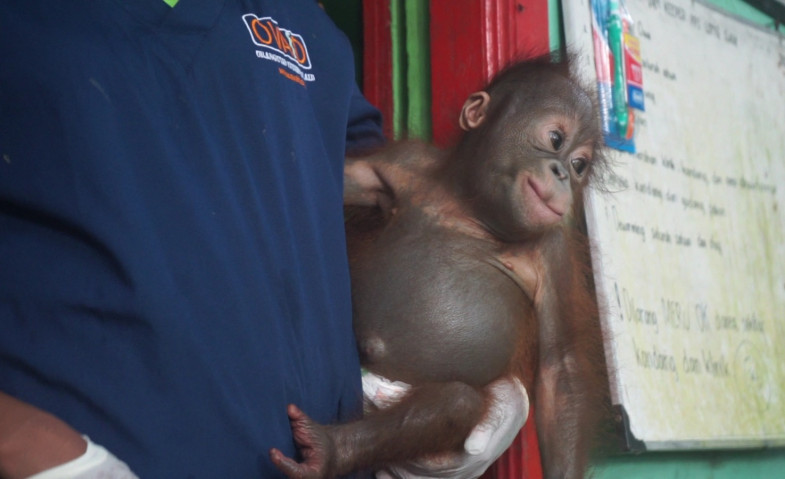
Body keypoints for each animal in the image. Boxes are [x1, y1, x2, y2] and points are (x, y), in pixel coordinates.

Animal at [269, 53, 610, 479]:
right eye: (555, 140)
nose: (563, 173)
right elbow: (353, 175)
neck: (470, 209)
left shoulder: (554, 251)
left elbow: (560, 369)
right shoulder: (399, 164)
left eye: (579, 165)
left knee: (457, 402)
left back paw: (330, 449)